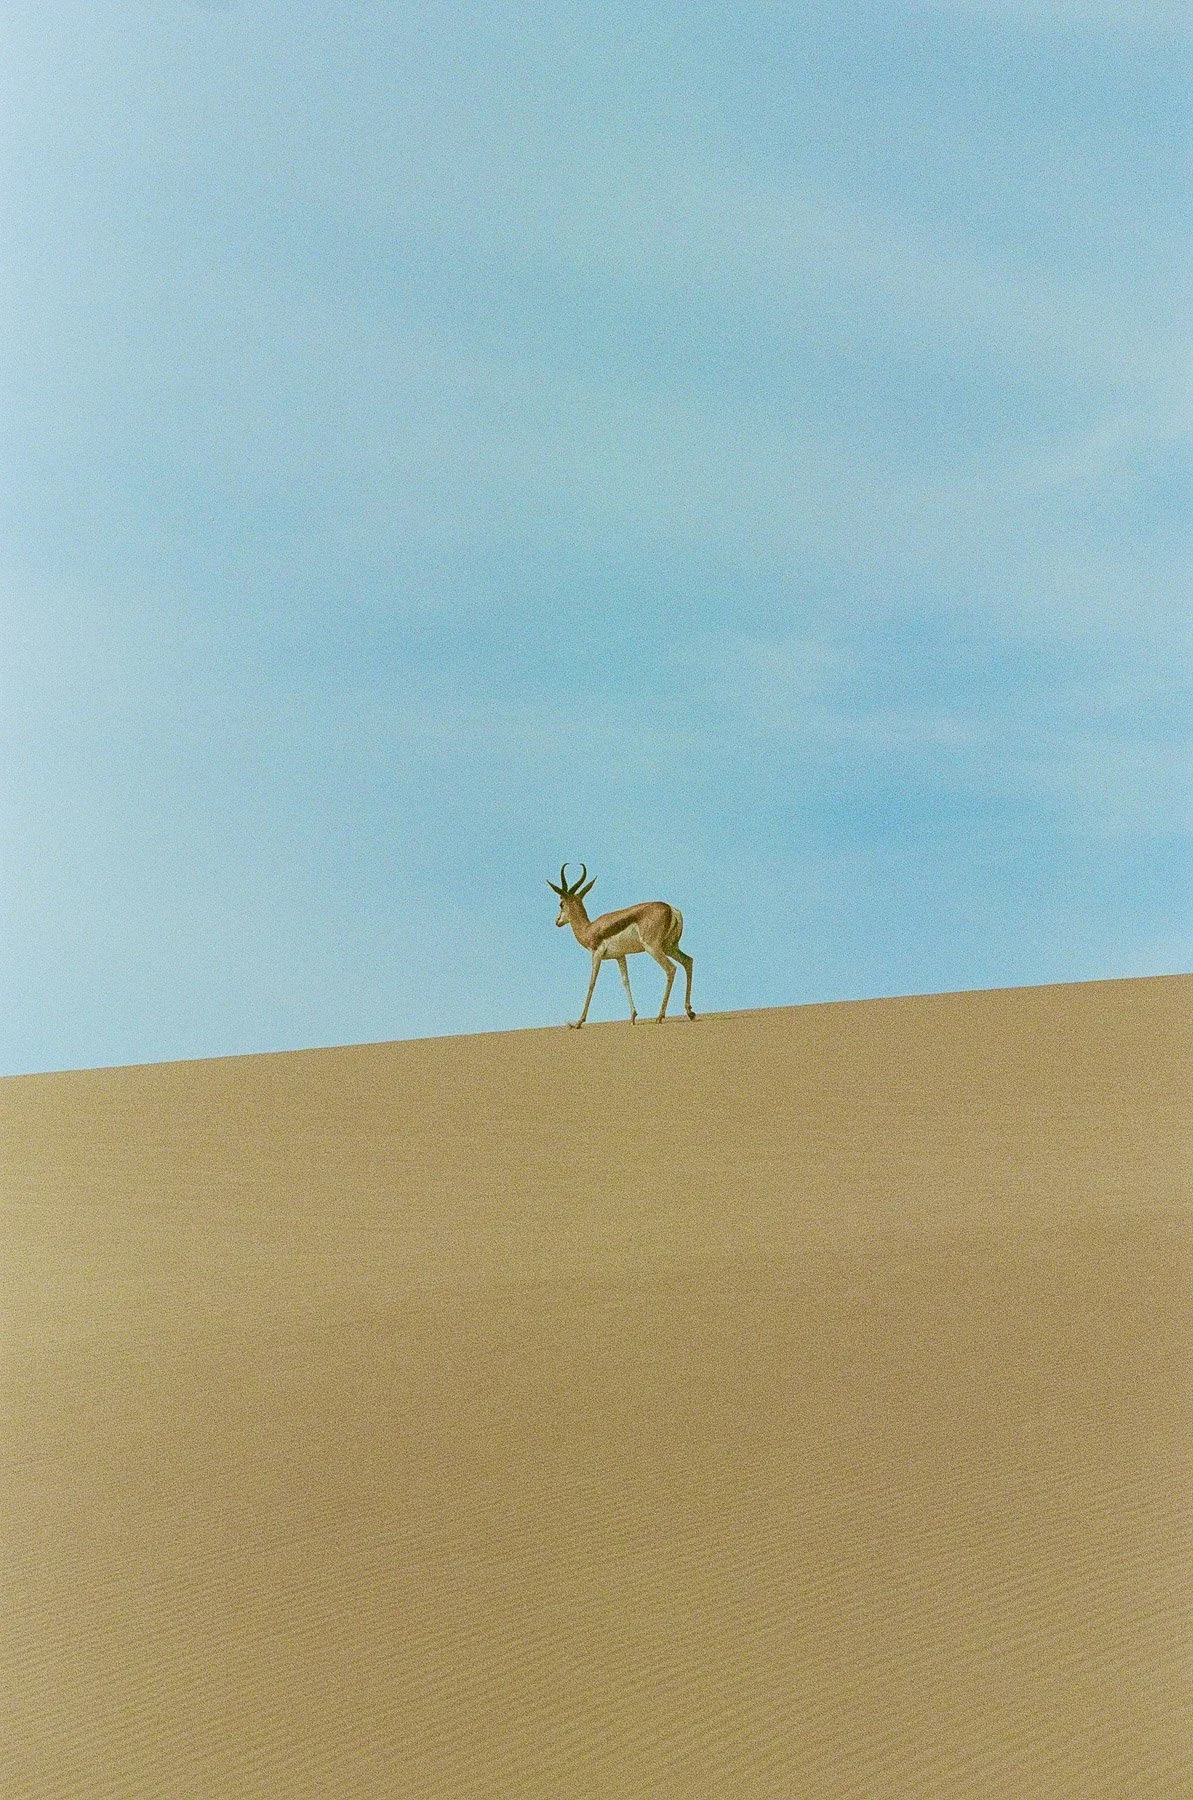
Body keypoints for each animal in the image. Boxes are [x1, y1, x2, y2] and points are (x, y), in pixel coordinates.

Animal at [548, 863, 696, 1028]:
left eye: (561, 903)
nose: (557, 921)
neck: (589, 929)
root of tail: (671, 909)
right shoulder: (620, 956)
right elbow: (625, 981)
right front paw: (633, 1016)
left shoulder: (596, 954)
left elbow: (592, 983)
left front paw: (579, 1022)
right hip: (669, 947)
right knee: (688, 961)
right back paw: (690, 1012)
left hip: (653, 948)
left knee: (671, 969)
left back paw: (660, 1016)